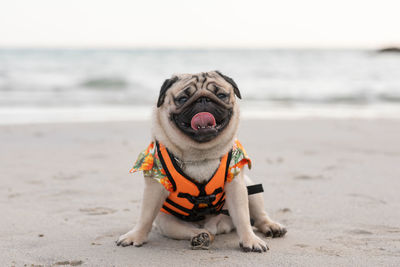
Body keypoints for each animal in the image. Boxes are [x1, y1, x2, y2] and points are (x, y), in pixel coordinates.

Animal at [117, 71, 286, 253]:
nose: (203, 99)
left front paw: (250, 240)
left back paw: (271, 226)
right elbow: (146, 216)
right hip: (167, 223)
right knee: (194, 231)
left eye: (221, 95)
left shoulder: (236, 186)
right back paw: (201, 237)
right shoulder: (155, 187)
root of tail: (216, 226)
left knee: (259, 216)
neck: (200, 154)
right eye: (183, 99)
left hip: (250, 188)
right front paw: (135, 236)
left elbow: (242, 216)